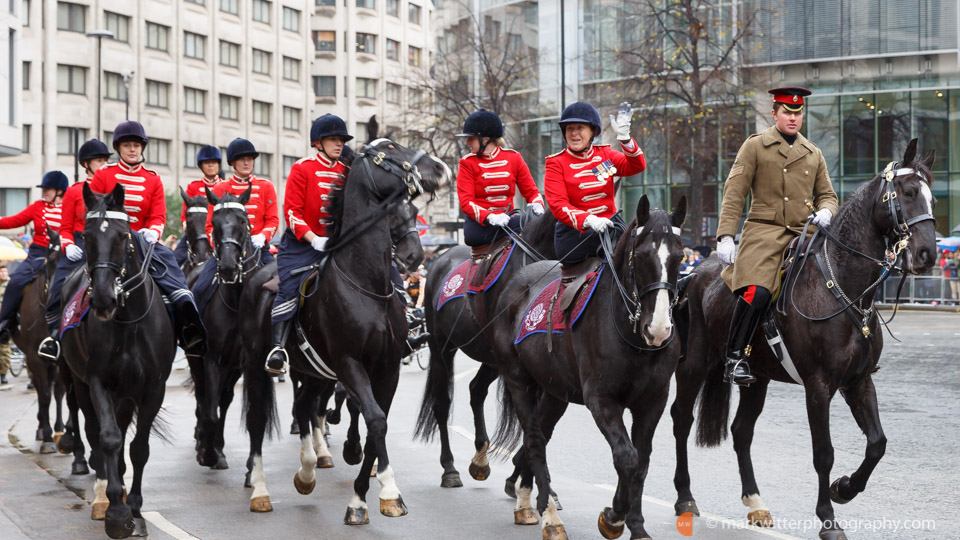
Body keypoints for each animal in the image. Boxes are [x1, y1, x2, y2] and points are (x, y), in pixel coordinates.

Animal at [61, 184, 177, 536]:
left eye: (123, 236)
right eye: (85, 236)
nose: (102, 299)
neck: (127, 322)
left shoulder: (153, 389)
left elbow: (139, 448)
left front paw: (135, 510)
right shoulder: (98, 382)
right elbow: (109, 438)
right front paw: (115, 510)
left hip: (125, 395)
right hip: (81, 384)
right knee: (95, 430)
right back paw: (103, 495)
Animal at [193, 184, 280, 512]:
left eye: (243, 222)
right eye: (215, 224)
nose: (229, 267)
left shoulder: (245, 363)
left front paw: (248, 468)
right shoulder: (211, 359)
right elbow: (210, 411)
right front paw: (207, 451)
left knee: (225, 399)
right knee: (206, 399)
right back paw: (208, 446)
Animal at [416, 209, 560, 488]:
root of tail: (440, 260)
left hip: (491, 359)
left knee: (476, 389)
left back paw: (481, 459)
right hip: (441, 348)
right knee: (442, 403)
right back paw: (450, 468)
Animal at [492, 197, 688, 540]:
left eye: (680, 256)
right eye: (642, 255)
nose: (659, 329)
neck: (631, 335)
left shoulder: (653, 401)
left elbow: (642, 461)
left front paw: (636, 525)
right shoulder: (602, 400)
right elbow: (627, 457)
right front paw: (613, 517)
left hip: (553, 392)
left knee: (539, 435)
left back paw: (529, 499)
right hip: (519, 382)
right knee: (534, 441)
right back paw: (548, 515)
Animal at [668, 140, 936, 540]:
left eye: (931, 195)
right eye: (907, 192)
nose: (927, 254)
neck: (843, 287)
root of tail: (695, 272)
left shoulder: (859, 381)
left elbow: (877, 444)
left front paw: (844, 489)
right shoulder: (819, 385)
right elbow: (823, 453)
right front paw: (828, 518)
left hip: (757, 379)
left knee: (741, 431)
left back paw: (756, 502)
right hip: (694, 365)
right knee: (681, 419)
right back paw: (685, 496)